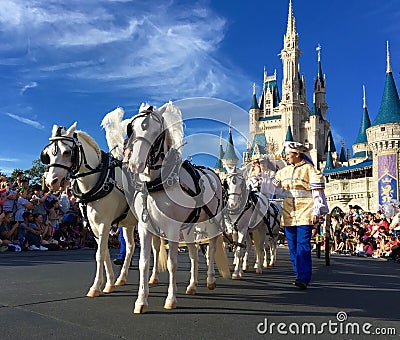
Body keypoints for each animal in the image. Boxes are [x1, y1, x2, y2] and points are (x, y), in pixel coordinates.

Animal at [41, 123, 141, 296]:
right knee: (131, 247)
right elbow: (105, 252)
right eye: (47, 154)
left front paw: (95, 287)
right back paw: (122, 278)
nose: (51, 181)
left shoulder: (104, 224)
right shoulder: (93, 226)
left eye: (67, 152)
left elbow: (100, 254)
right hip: (128, 224)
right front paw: (109, 283)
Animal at [122, 101, 228, 314]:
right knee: (195, 255)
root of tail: (214, 174)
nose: (135, 164)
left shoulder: (172, 227)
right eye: (132, 128)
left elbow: (172, 263)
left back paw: (210, 280)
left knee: (211, 250)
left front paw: (171, 299)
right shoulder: (145, 227)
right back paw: (192, 285)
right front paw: (141, 300)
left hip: (211, 222)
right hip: (189, 229)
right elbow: (144, 263)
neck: (156, 185)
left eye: (156, 132)